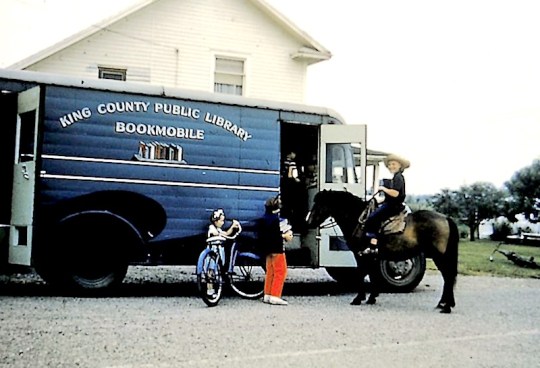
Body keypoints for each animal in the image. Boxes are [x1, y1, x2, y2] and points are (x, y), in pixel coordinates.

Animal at [306, 190, 458, 314]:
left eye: (319, 204)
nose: (308, 222)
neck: (358, 219)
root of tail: (446, 218)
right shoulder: (372, 256)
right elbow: (372, 274)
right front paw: (371, 298)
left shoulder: (360, 254)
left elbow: (362, 273)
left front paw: (358, 298)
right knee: (448, 277)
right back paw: (443, 304)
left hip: (440, 256)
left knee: (448, 276)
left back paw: (446, 306)